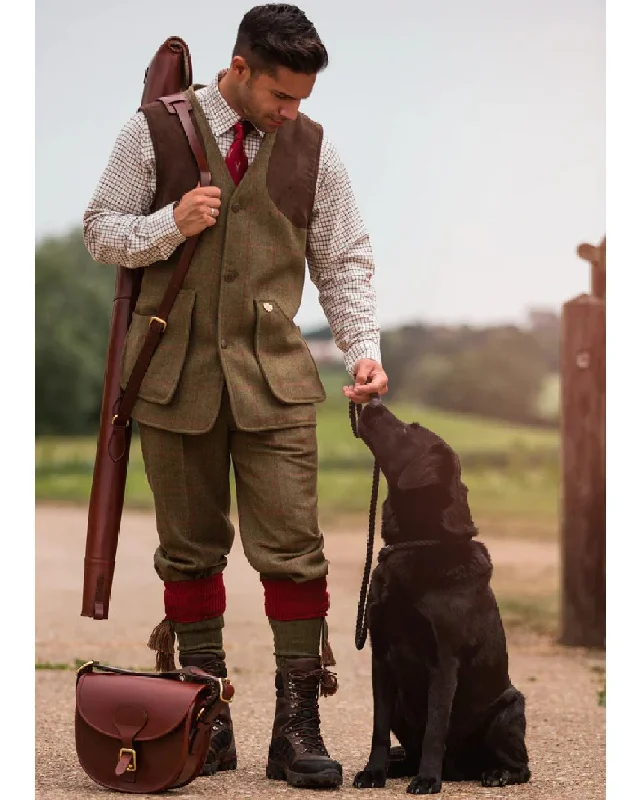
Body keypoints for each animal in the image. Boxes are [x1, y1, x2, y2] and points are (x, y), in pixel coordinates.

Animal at [352, 406, 532, 792]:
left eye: (408, 430)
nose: (370, 404)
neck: (418, 543)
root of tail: (459, 770)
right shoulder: (381, 656)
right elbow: (378, 727)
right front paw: (374, 772)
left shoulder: (444, 661)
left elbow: (436, 728)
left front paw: (427, 779)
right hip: (403, 704)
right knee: (406, 746)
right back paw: (399, 764)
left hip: (509, 709)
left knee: (521, 766)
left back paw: (495, 773)